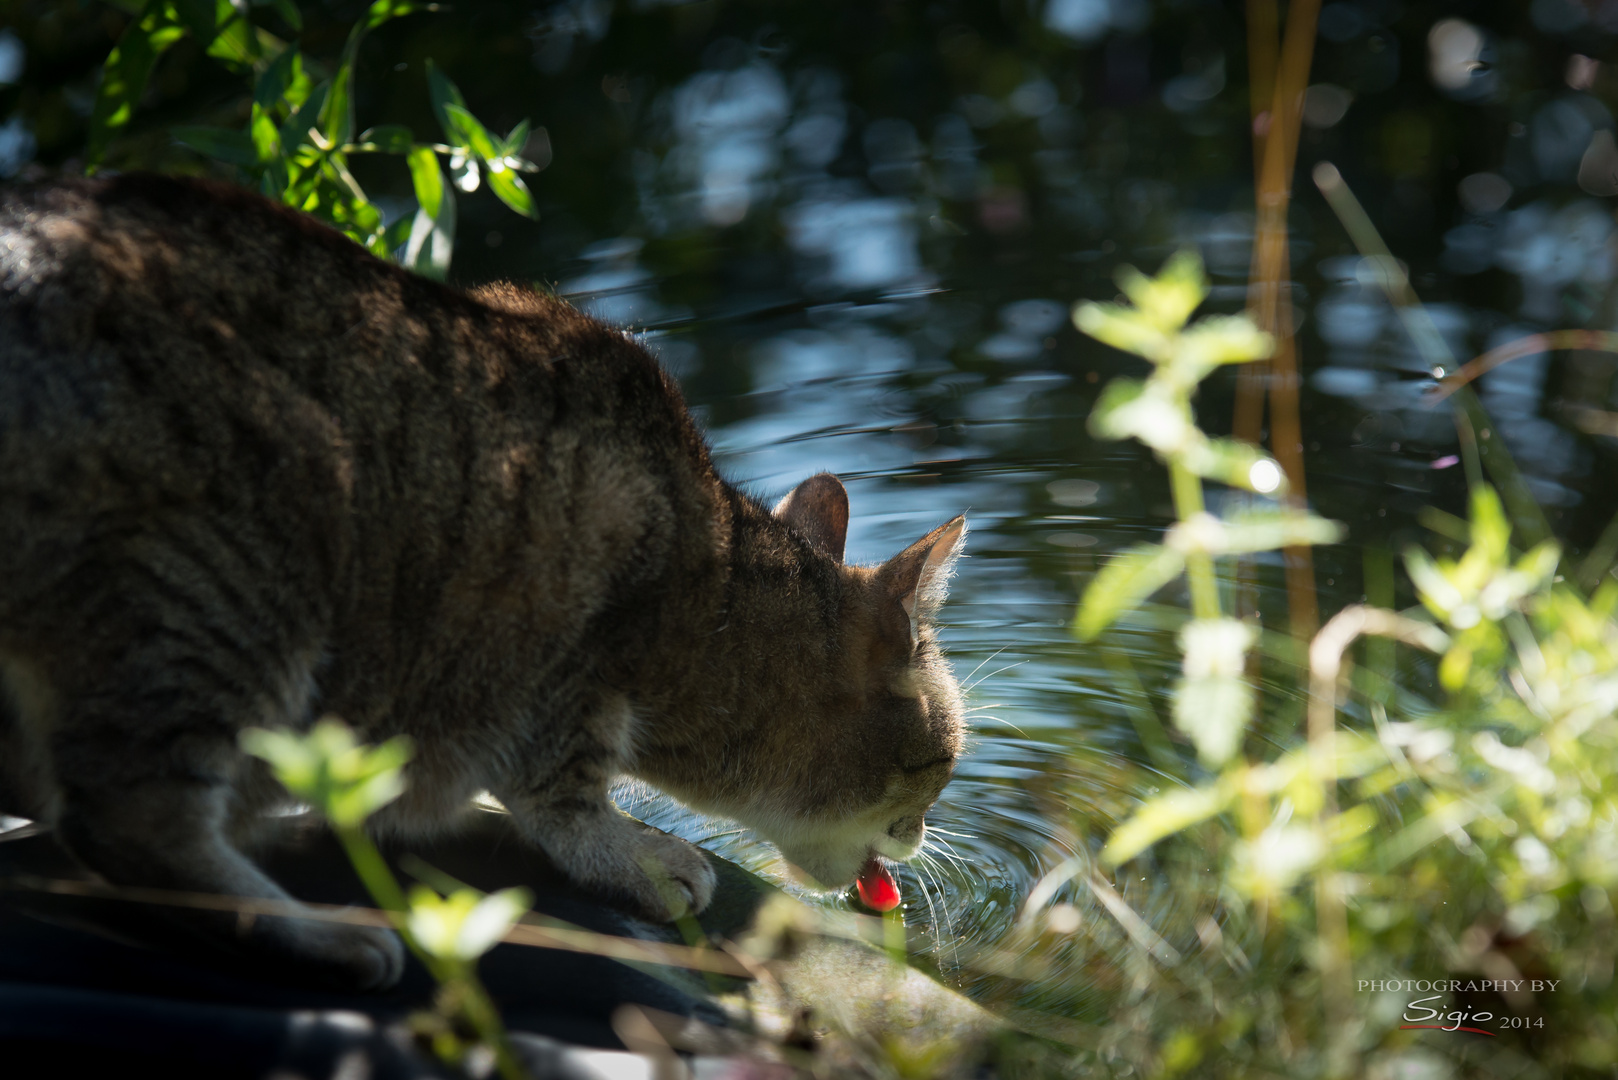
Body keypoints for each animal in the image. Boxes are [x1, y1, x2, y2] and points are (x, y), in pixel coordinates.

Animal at [0, 175, 957, 990]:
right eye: (938, 765)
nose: (919, 836)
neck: (709, 598)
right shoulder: (561, 652)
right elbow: (559, 788)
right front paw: (634, 854)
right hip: (229, 583)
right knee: (128, 818)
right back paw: (318, 937)